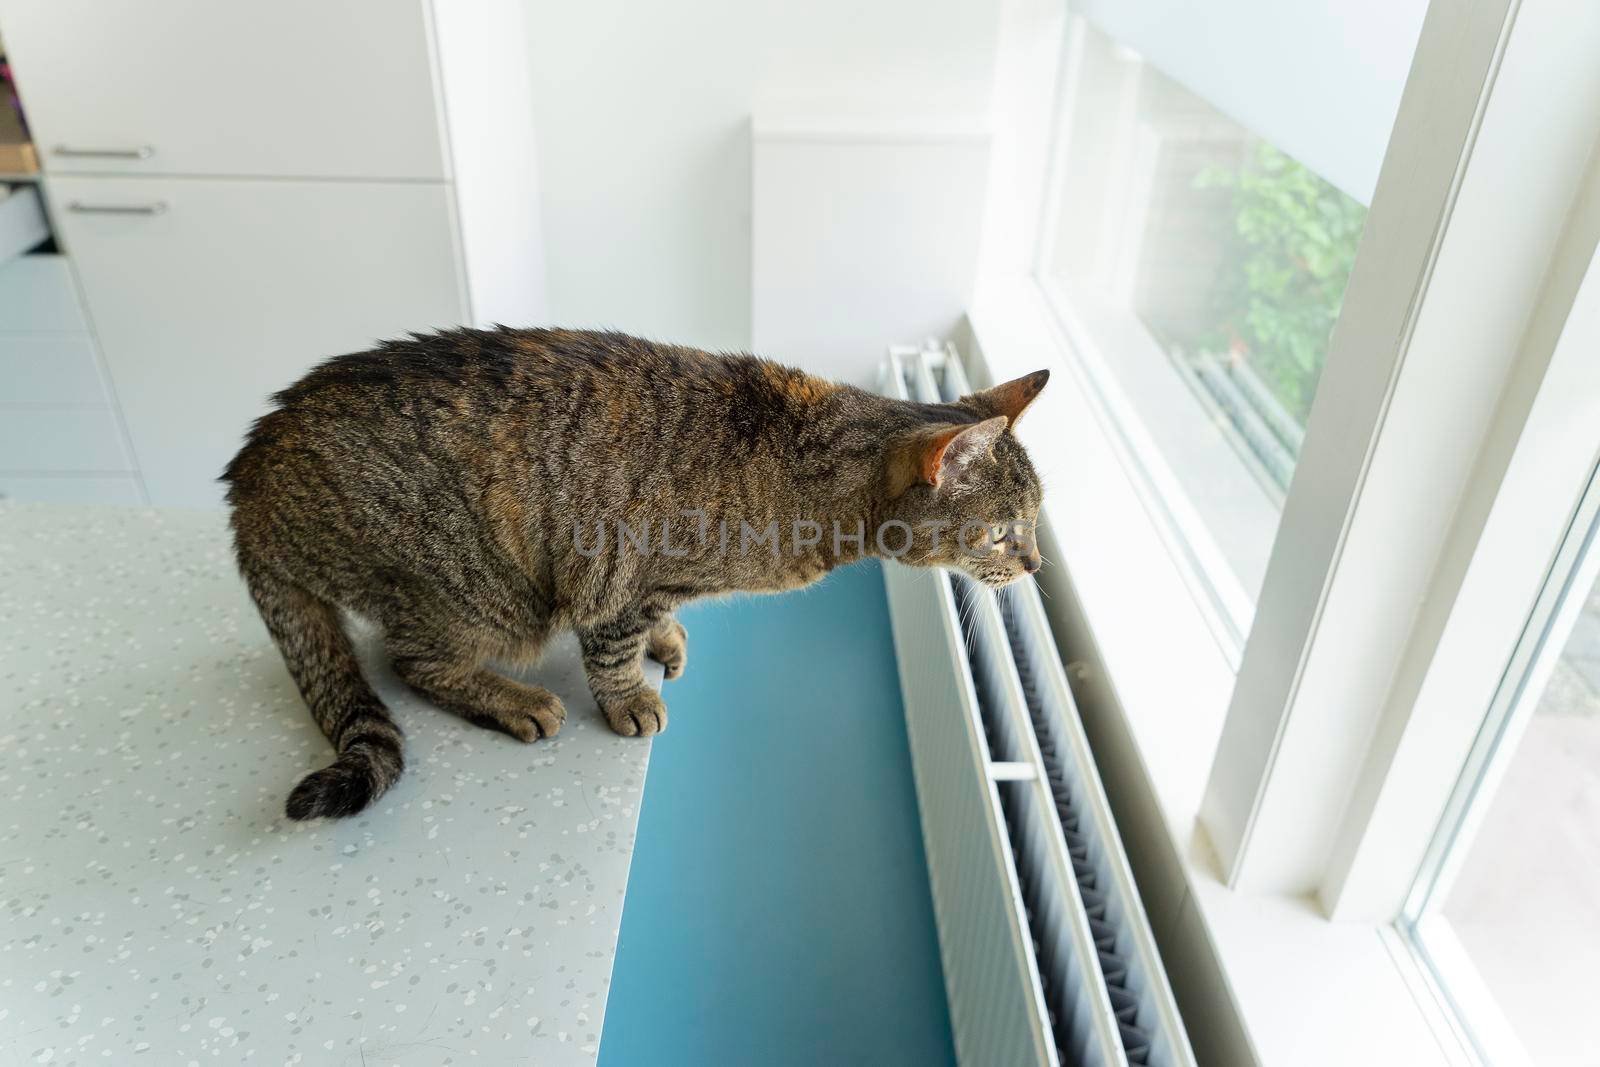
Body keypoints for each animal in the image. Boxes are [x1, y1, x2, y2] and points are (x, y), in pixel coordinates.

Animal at [225, 329, 1049, 825]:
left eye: (1036, 522)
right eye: (1004, 532)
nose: (1038, 563)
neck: (814, 474)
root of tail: (249, 477)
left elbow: (648, 627)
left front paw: (665, 640)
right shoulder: (619, 573)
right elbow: (612, 648)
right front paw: (628, 697)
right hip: (485, 597)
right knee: (412, 661)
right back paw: (514, 698)